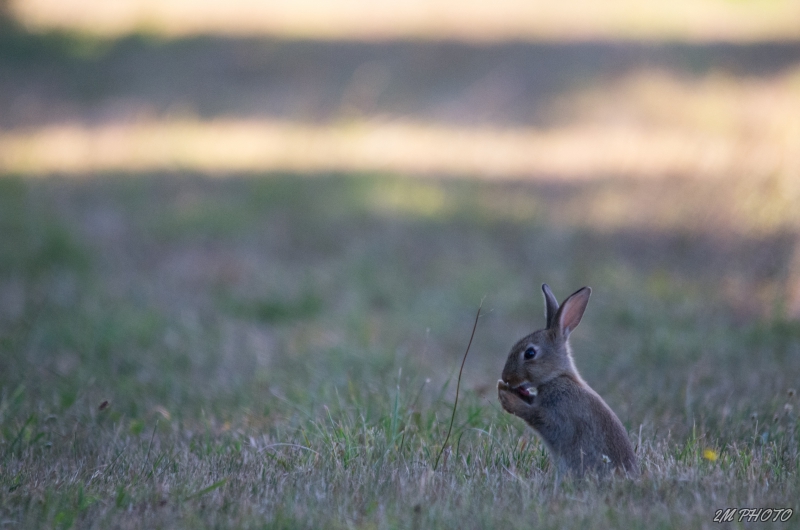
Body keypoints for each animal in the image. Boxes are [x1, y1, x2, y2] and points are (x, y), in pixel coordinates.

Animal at [496, 282, 640, 476]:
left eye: (530, 353)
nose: (505, 377)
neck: (559, 377)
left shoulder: (559, 416)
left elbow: (536, 417)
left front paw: (508, 399)